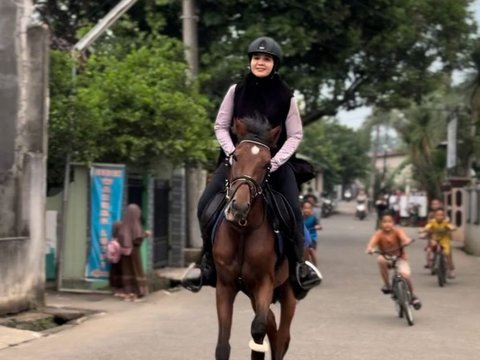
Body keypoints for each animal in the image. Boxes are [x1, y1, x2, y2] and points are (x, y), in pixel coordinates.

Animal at [214, 116, 296, 360]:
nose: (239, 208)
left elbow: (258, 331)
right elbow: (223, 345)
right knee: (271, 323)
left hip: (287, 291)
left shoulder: (264, 283)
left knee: (281, 336)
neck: (243, 230)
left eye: (267, 165)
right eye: (235, 157)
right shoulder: (225, 285)